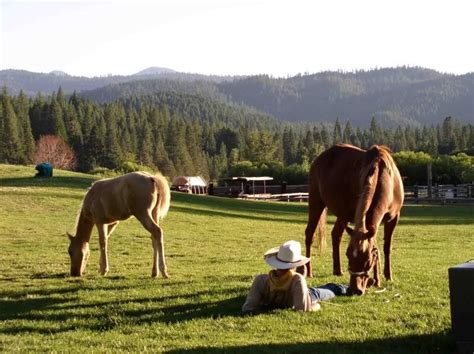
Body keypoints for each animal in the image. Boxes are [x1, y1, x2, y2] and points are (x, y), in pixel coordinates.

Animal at [304, 144, 404, 296]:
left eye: (368, 259)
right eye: (348, 256)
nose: (354, 289)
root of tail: (318, 159)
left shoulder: (393, 218)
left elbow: (386, 247)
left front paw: (386, 276)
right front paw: (377, 279)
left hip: (343, 215)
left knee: (336, 234)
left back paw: (338, 270)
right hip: (316, 203)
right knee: (310, 234)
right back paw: (309, 271)